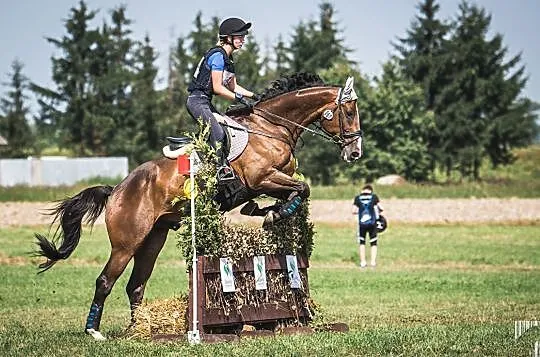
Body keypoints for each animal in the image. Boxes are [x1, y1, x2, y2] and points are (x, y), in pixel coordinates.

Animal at [33, 72, 362, 340]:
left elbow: (296, 191)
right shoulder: (262, 178)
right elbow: (302, 189)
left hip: (153, 239)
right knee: (105, 280)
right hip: (127, 242)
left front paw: (266, 212)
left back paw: (137, 329)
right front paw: (272, 214)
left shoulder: (274, 181)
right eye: (348, 112)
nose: (355, 152)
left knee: (135, 285)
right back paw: (94, 331)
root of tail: (117, 190)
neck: (272, 128)